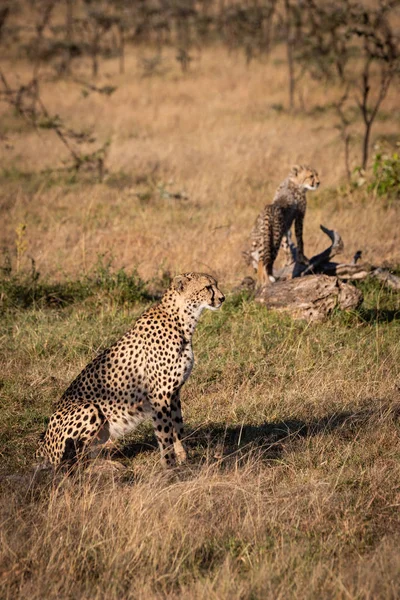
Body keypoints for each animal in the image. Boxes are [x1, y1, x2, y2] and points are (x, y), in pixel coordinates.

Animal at [36, 272, 225, 468]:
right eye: (208, 287)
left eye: (215, 285)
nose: (222, 298)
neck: (182, 321)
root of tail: (42, 445)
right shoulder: (159, 394)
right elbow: (165, 433)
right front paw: (169, 466)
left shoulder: (174, 393)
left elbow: (178, 428)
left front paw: (184, 459)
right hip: (90, 408)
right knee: (75, 462)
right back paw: (107, 467)